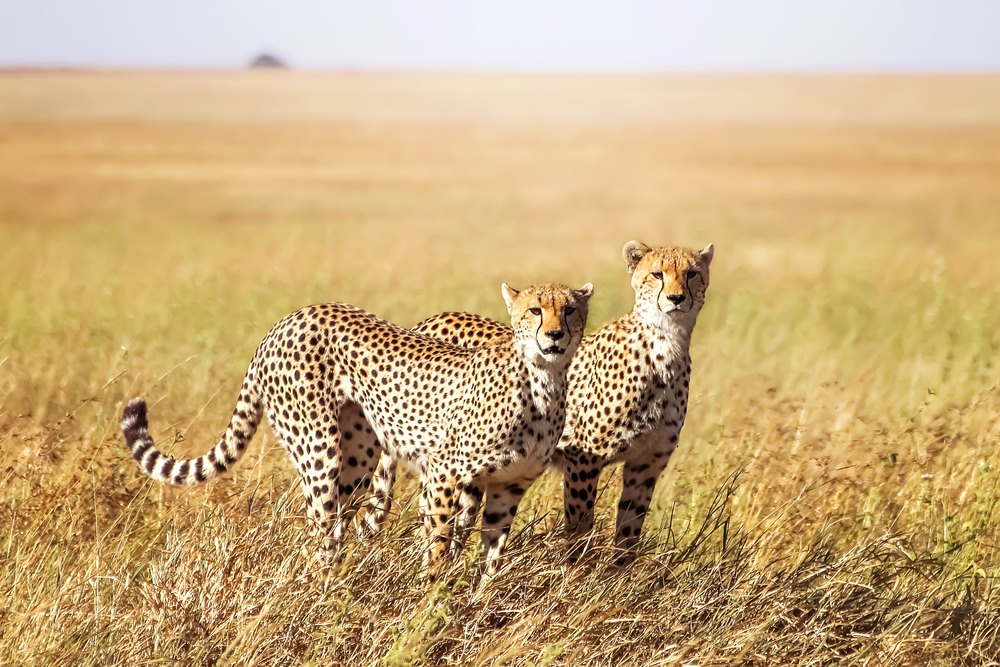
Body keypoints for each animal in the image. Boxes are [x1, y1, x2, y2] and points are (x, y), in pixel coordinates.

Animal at [120, 281, 593, 577]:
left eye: (570, 310)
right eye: (535, 309)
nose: (554, 336)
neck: (543, 380)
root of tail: (288, 319)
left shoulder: (508, 487)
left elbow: (491, 559)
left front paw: (477, 605)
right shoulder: (443, 471)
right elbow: (439, 545)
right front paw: (432, 604)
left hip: (360, 457)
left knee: (340, 523)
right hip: (318, 449)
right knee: (320, 533)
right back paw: (325, 595)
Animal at [355, 241, 713, 562]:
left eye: (692, 273)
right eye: (657, 274)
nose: (676, 298)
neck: (665, 346)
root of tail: (431, 320)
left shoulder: (646, 463)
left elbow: (628, 536)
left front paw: (619, 580)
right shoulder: (583, 458)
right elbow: (580, 527)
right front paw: (578, 575)